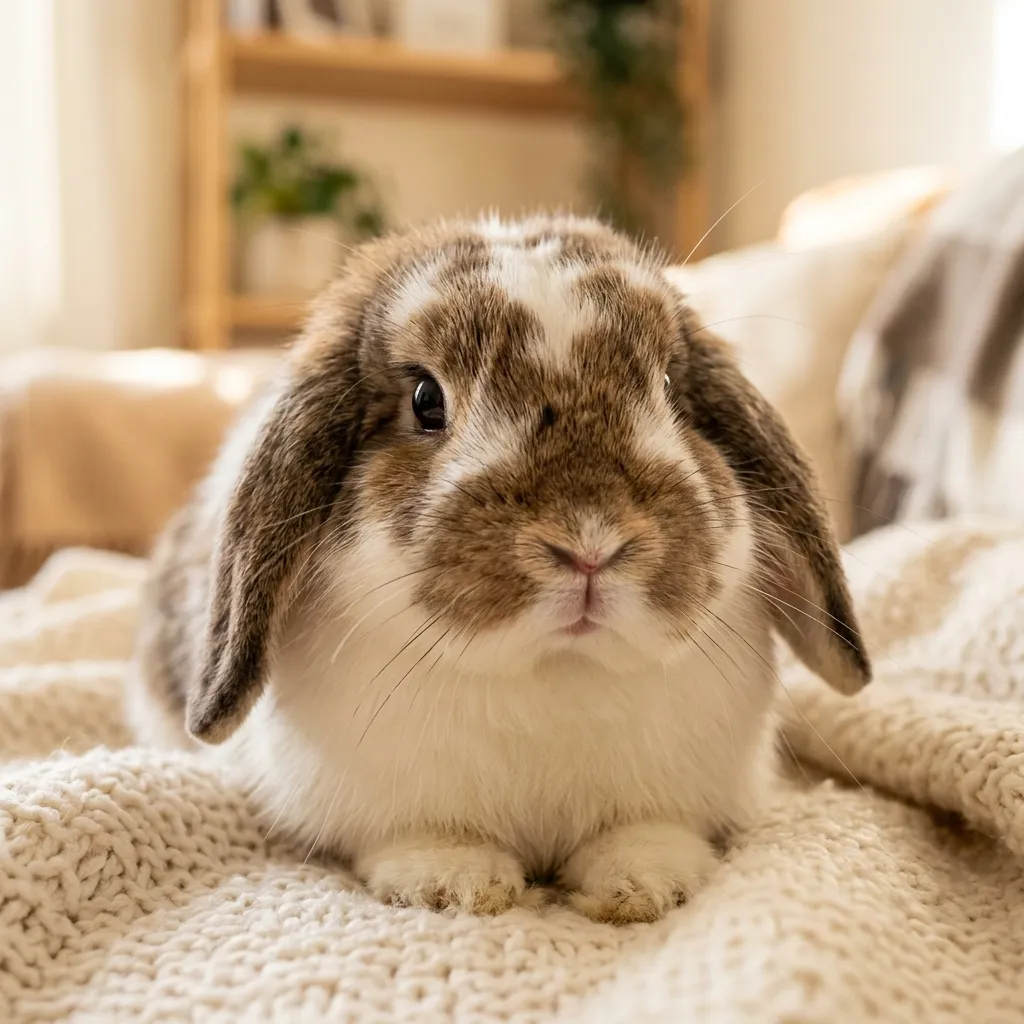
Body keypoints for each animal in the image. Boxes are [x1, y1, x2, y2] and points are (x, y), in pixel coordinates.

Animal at [128, 214, 870, 925]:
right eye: (426, 399)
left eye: (667, 387)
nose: (590, 544)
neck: (554, 671)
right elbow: (423, 840)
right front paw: (456, 884)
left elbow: (645, 835)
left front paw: (642, 882)